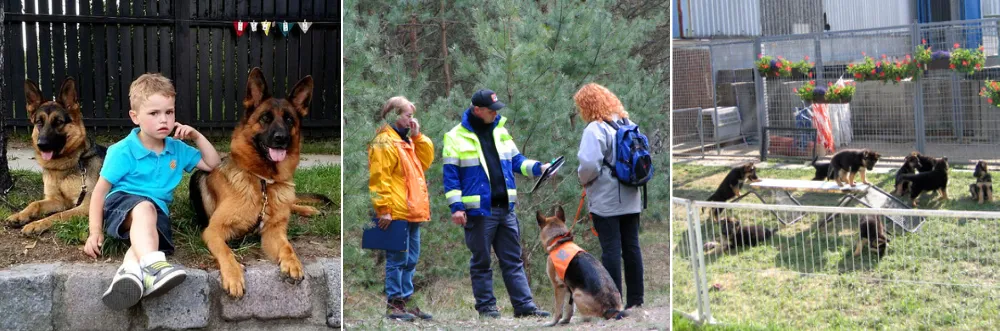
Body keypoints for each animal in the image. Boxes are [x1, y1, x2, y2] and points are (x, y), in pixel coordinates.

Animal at [3, 77, 106, 236]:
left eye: (58, 122)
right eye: (39, 122)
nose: (41, 144)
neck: (63, 166)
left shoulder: (86, 205)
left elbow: (58, 215)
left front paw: (37, 224)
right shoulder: (57, 200)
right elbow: (35, 203)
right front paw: (20, 215)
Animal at [188, 67, 328, 298]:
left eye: (289, 120)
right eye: (265, 118)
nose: (281, 138)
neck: (263, 182)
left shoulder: (273, 231)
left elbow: (288, 247)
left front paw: (293, 262)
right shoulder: (213, 231)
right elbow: (226, 251)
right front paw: (234, 276)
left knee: (292, 204)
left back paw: (309, 209)